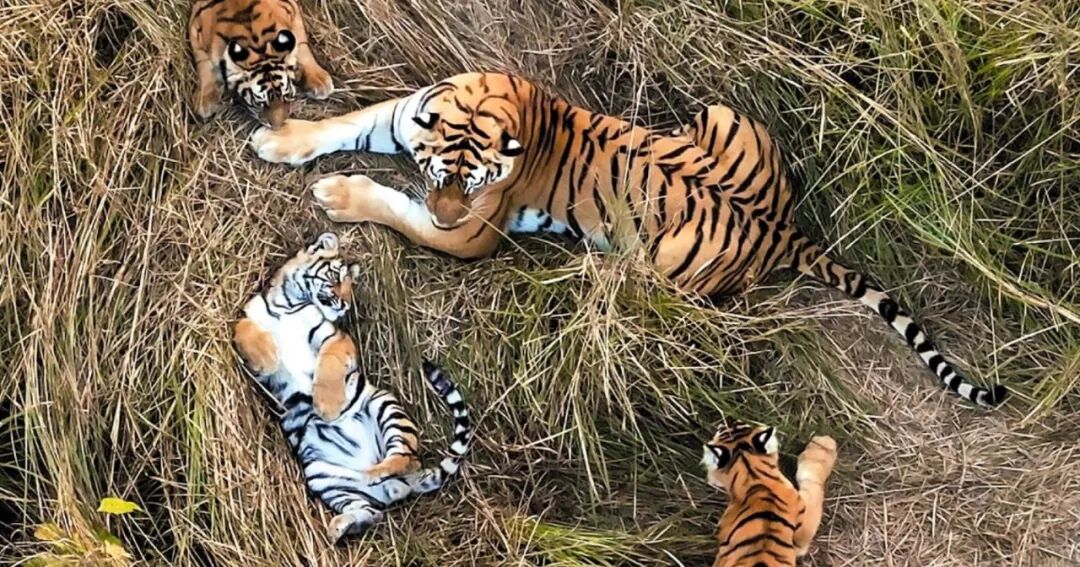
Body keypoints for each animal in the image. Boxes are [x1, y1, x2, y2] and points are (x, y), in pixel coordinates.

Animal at [189, 0, 333, 128]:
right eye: (260, 104)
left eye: (286, 95)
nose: (277, 127)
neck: (256, 43)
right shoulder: (195, 26)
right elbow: (203, 63)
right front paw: (205, 101)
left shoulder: (293, 11)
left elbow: (301, 45)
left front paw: (319, 80)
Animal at [233, 232, 471, 541]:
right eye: (336, 277)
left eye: (350, 286)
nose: (345, 304)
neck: (289, 304)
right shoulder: (249, 318)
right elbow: (243, 328)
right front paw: (269, 357)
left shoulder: (334, 336)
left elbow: (330, 364)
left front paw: (327, 407)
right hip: (324, 476)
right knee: (371, 511)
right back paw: (339, 527)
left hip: (385, 406)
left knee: (406, 457)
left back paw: (374, 473)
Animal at [248, 71, 1008, 407]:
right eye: (440, 173)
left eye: (467, 189)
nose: (446, 213)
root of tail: (784, 230)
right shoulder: (404, 116)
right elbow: (346, 124)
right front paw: (282, 141)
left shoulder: (476, 232)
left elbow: (397, 208)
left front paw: (337, 193)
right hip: (722, 113)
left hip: (664, 258)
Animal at [702, 422, 838, 566]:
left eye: (741, 424)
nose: (725, 421)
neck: (753, 476)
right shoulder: (803, 529)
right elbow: (812, 483)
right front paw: (825, 444)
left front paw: (824, 444)